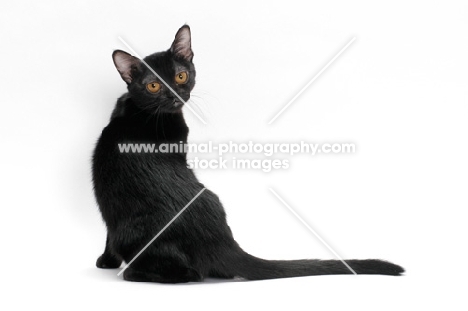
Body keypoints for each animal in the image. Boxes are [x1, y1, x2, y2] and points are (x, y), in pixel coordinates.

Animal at [93, 25, 404, 284]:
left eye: (181, 76)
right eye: (153, 85)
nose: (174, 95)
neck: (141, 112)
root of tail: (224, 243)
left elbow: (106, 233)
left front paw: (107, 261)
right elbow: (107, 234)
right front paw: (108, 261)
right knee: (189, 274)